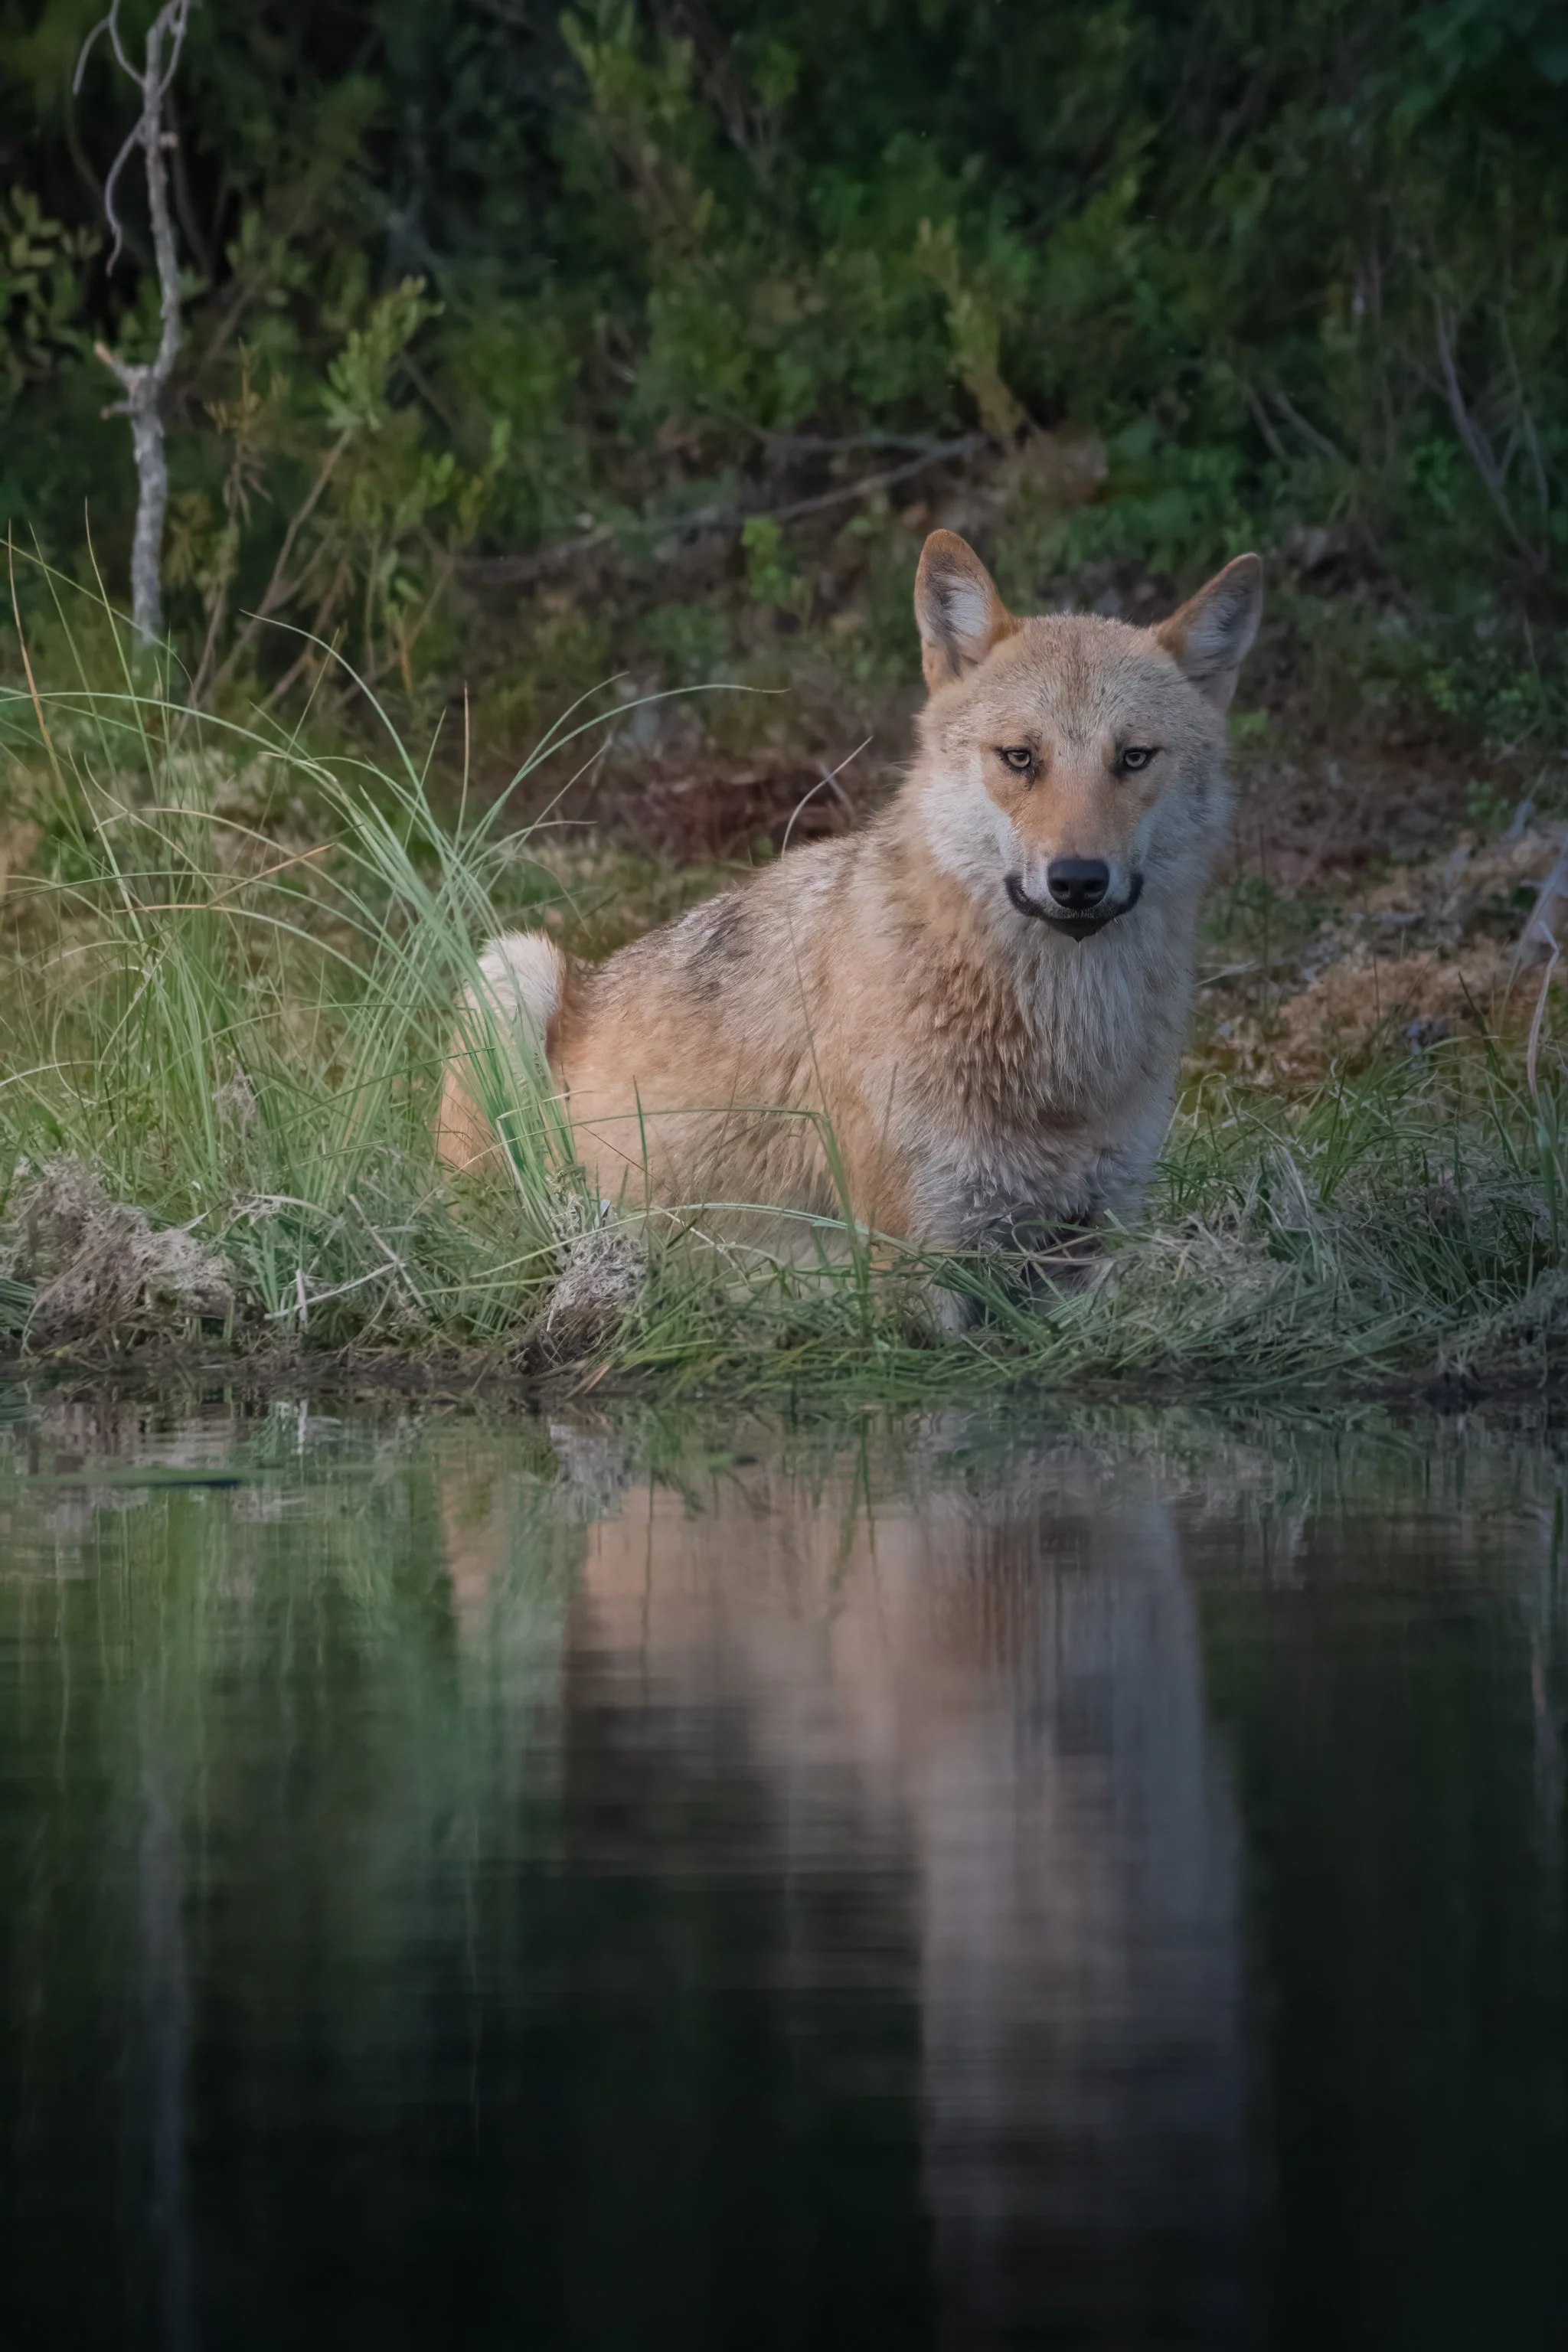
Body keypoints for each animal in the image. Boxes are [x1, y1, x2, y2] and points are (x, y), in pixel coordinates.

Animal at [437, 531, 1262, 1261]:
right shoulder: (916, 1261)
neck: (1062, 1053)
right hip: (514, 969)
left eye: (1133, 758)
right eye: (1020, 758)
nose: (1078, 880)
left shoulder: (1093, 1247)